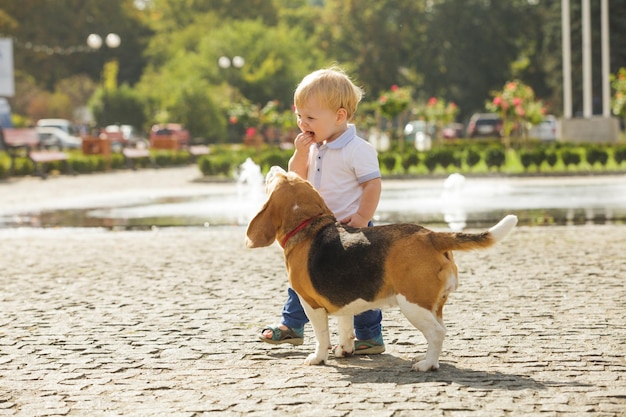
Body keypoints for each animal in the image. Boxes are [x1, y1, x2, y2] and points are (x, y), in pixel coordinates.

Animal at [245, 167, 516, 370]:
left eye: (278, 178)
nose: (274, 167)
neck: (308, 225)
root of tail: (431, 235)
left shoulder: (310, 304)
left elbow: (322, 334)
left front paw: (318, 358)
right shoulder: (343, 300)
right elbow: (345, 327)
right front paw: (345, 350)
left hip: (413, 305)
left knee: (437, 333)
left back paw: (427, 364)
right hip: (433, 305)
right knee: (440, 330)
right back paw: (426, 356)